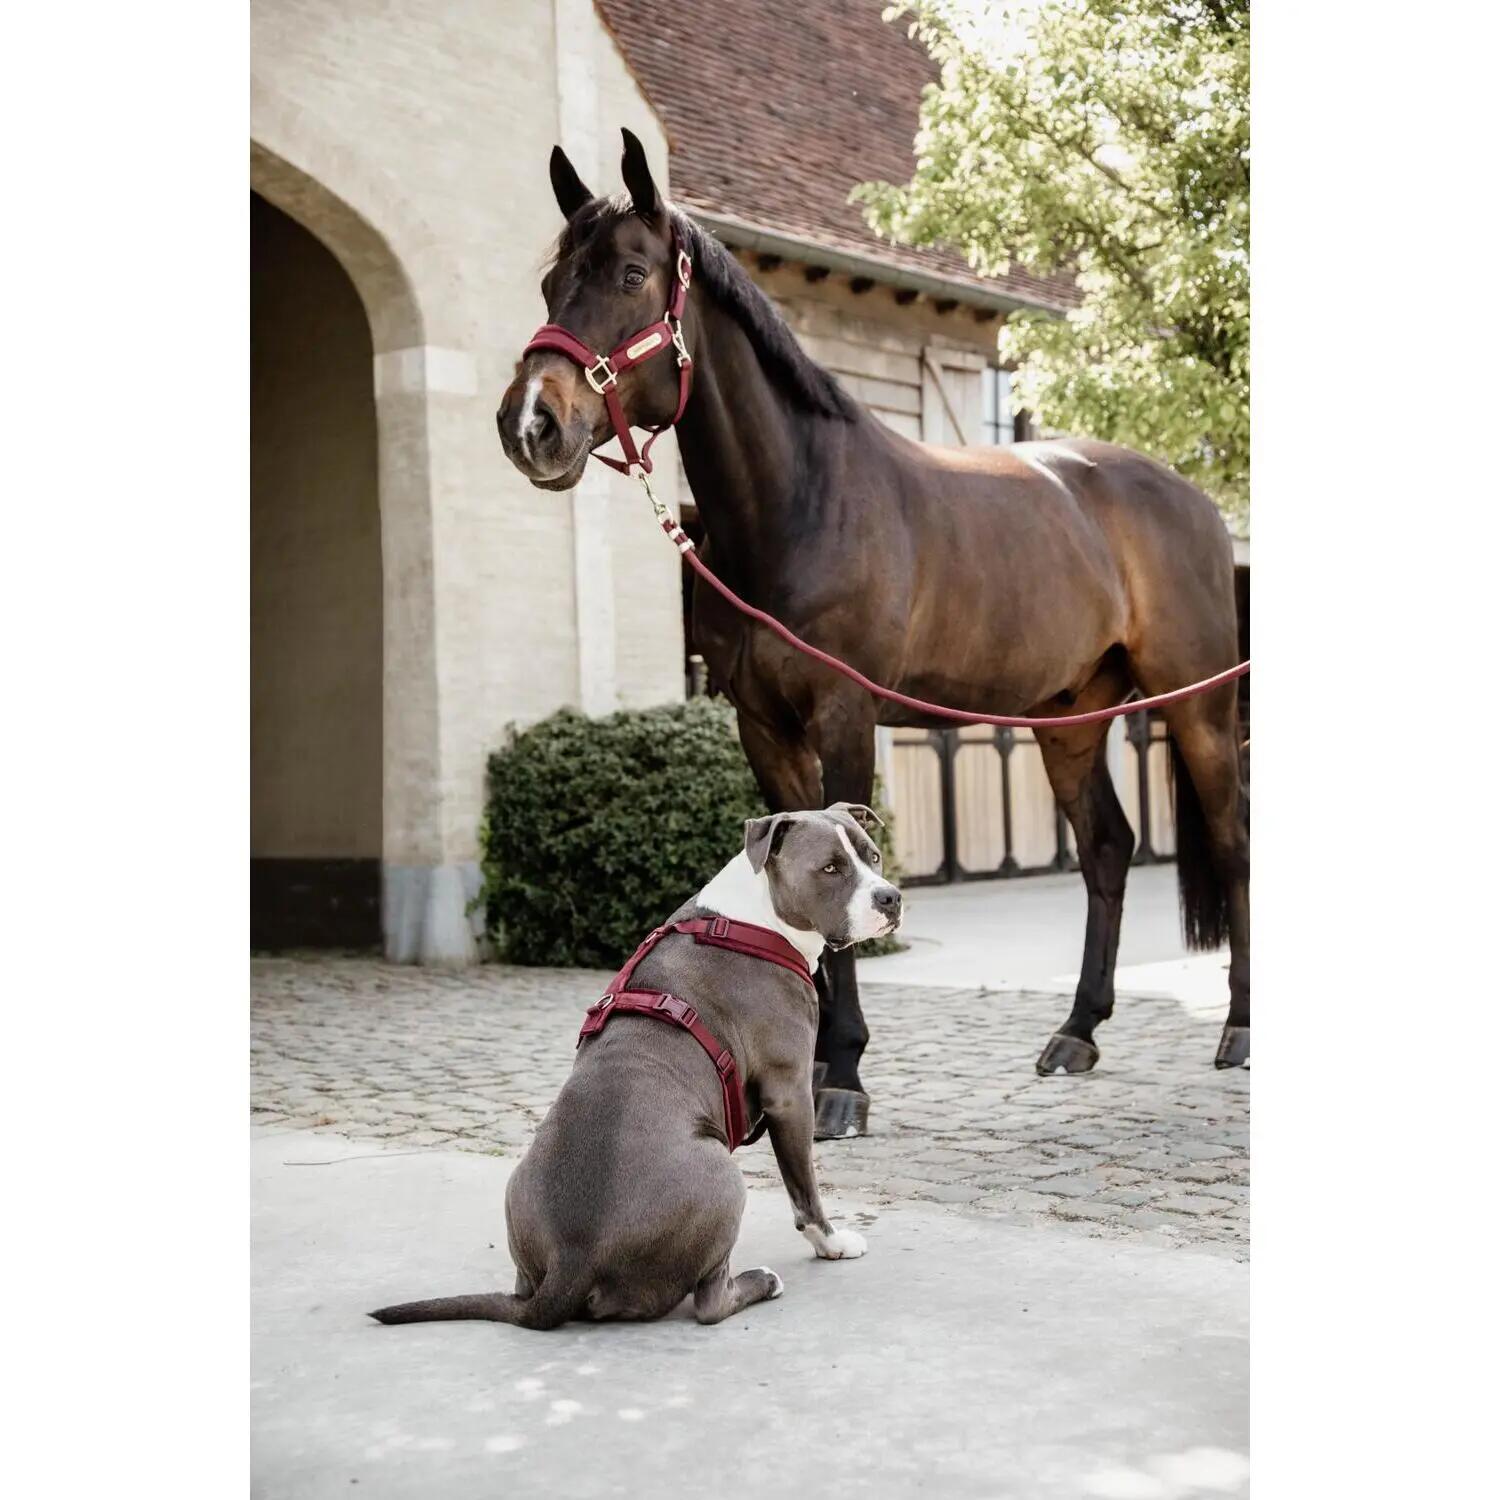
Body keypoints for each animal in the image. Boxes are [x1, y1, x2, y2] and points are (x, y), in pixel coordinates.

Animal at [497, 129, 1249, 1138]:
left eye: (629, 273)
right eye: (550, 284)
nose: (531, 424)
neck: (804, 503)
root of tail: (1192, 500)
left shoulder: (845, 714)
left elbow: (843, 871)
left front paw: (843, 1076)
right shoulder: (763, 726)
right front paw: (813, 1061)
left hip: (1196, 703)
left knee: (1231, 839)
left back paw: (1237, 1029)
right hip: (1071, 717)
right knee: (1106, 847)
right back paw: (1077, 1032)